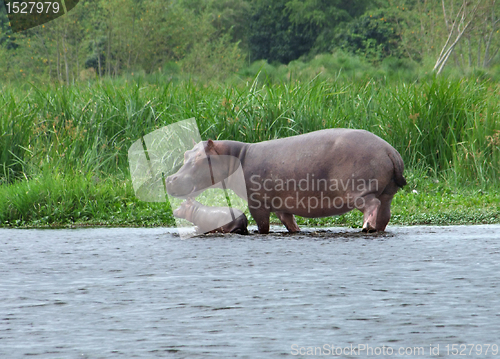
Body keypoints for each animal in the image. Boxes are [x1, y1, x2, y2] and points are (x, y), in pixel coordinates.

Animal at [165, 128, 406, 235]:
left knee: (371, 205)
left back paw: (366, 228)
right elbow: (289, 222)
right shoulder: (281, 205)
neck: (236, 156)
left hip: (359, 191)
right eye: (186, 154)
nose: (170, 179)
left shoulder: (258, 204)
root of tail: (390, 149)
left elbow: (263, 226)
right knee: (385, 213)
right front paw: (297, 232)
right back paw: (377, 228)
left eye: (201, 159)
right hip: (388, 192)